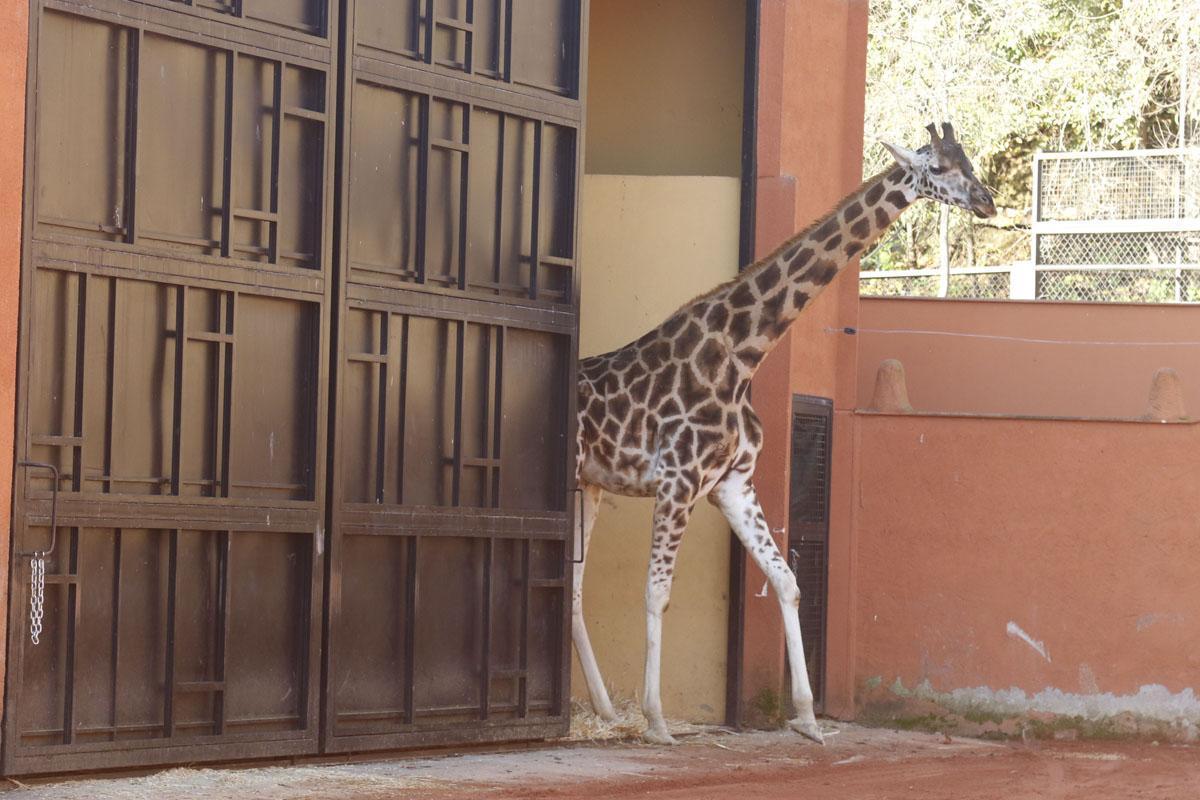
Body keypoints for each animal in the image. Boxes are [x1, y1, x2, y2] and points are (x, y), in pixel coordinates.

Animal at [571, 123, 996, 745]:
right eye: (937, 169)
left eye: (967, 161)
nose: (987, 201)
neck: (744, 354)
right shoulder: (678, 480)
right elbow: (657, 592)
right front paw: (656, 721)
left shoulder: (732, 485)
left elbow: (789, 581)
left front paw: (808, 716)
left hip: (591, 485)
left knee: (572, 588)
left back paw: (602, 712)